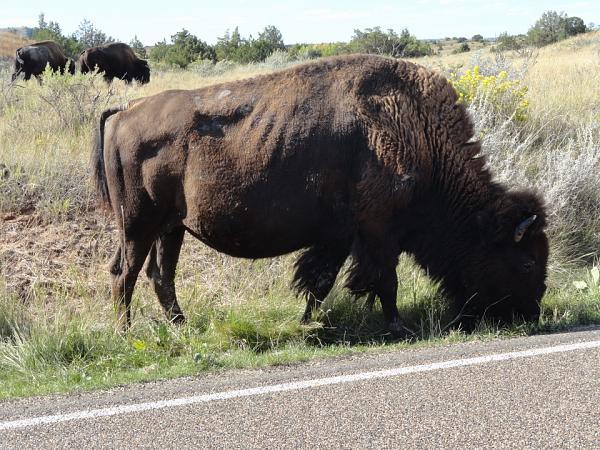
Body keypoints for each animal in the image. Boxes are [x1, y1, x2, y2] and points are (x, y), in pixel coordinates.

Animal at [91, 54, 548, 336]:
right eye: (526, 261)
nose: (531, 314)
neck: (417, 132)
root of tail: (126, 112)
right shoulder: (378, 232)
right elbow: (385, 280)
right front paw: (397, 327)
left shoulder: (340, 237)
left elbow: (321, 282)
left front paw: (308, 323)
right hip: (138, 225)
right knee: (125, 273)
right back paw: (126, 333)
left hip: (171, 228)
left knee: (159, 276)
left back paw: (182, 327)